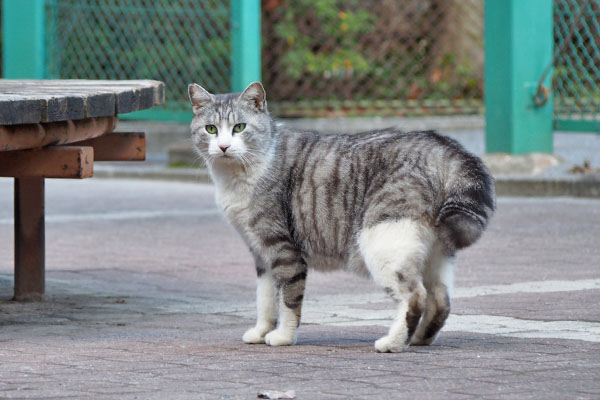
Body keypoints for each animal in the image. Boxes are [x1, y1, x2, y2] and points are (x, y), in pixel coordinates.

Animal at [189, 82, 496, 354]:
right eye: (211, 129)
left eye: (239, 127)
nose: (224, 147)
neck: (236, 177)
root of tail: (443, 148)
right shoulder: (260, 252)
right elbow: (264, 299)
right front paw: (260, 332)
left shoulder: (283, 250)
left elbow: (288, 300)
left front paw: (283, 337)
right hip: (435, 251)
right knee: (440, 300)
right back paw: (419, 339)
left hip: (382, 241)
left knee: (415, 297)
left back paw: (393, 343)